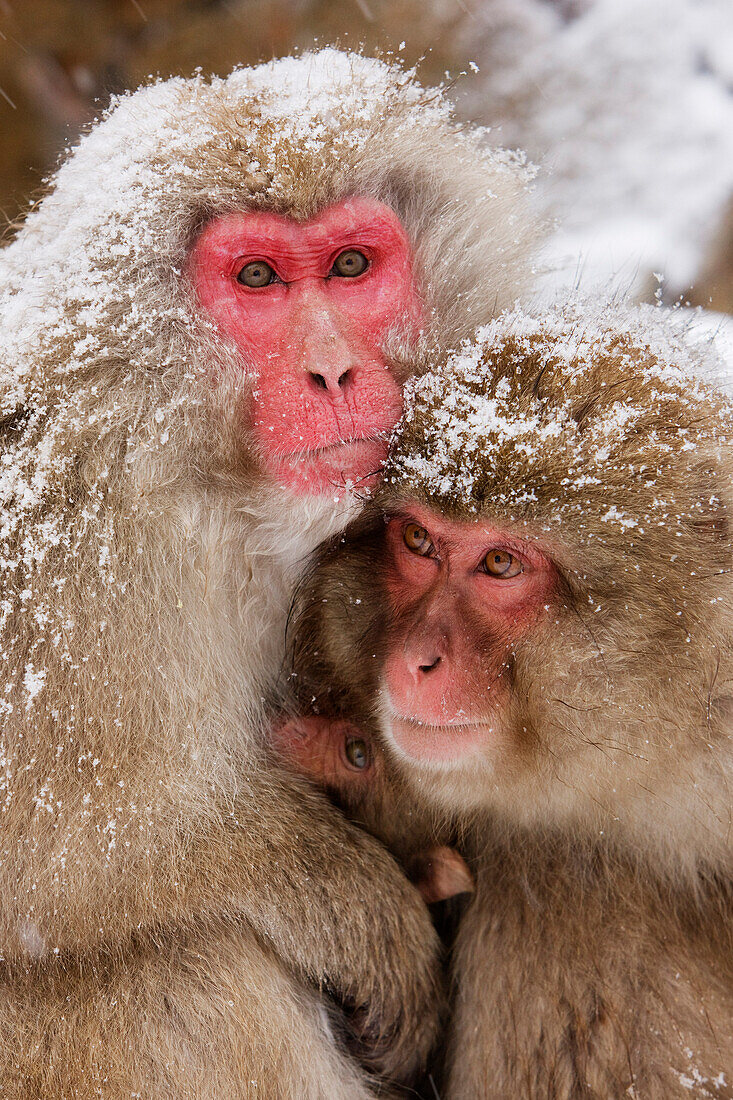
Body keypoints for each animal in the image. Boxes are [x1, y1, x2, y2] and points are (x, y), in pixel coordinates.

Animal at [0, 49, 534, 1091]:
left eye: (351, 266)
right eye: (256, 278)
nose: (332, 371)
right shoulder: (68, 573)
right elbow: (70, 858)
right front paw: (354, 906)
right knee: (194, 978)